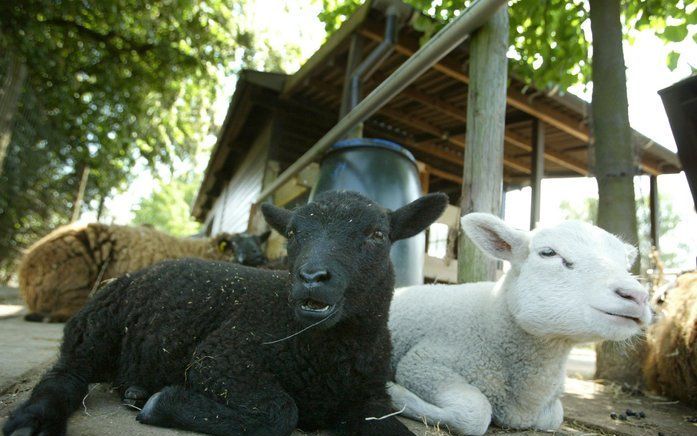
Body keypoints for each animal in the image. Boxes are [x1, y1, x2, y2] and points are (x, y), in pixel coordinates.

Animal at [388, 213, 648, 434]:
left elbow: (554, 418)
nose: (637, 296)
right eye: (548, 252)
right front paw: (395, 394)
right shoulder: (422, 362)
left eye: (626, 265)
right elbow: (475, 414)